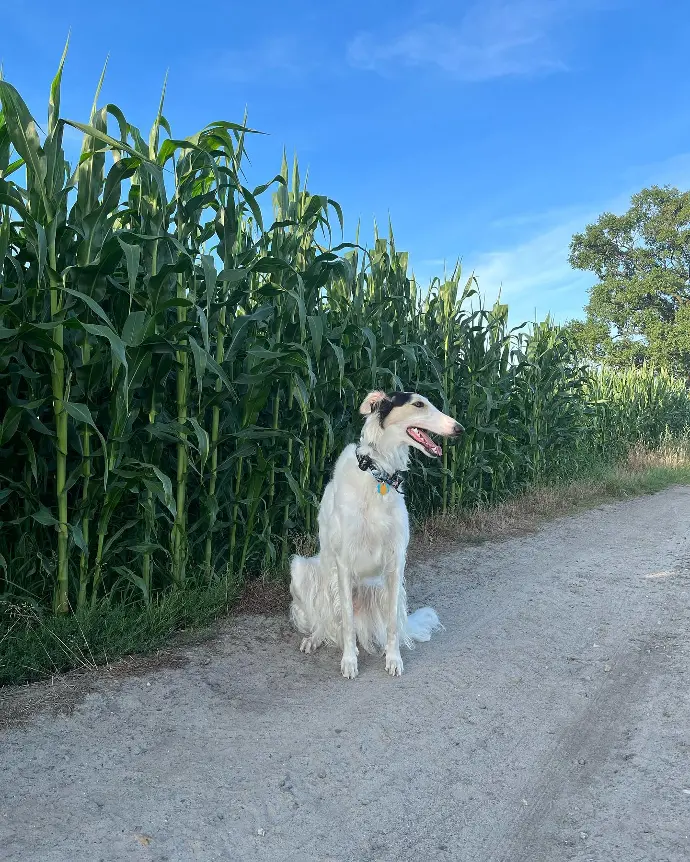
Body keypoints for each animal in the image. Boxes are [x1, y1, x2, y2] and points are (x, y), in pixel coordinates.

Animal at [288, 392, 462, 680]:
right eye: (418, 404)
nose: (459, 429)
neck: (378, 475)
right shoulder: (343, 564)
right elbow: (346, 622)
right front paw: (349, 661)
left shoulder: (396, 562)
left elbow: (391, 625)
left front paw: (394, 660)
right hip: (304, 569)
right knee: (327, 621)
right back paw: (315, 639)